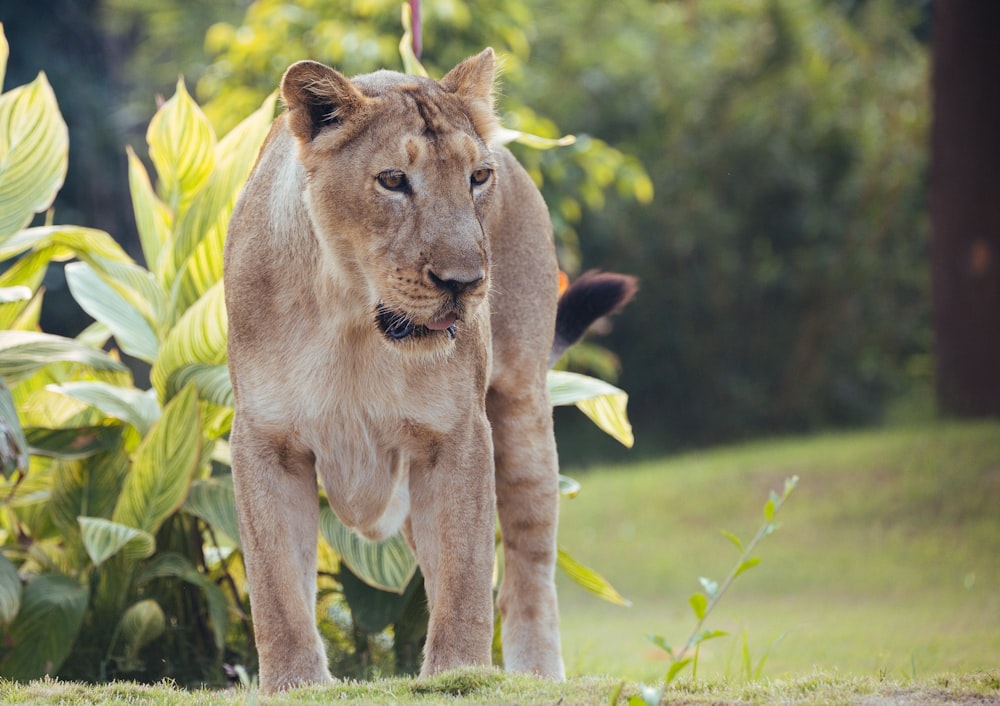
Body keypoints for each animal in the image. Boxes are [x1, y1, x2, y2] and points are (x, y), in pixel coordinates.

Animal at [224, 46, 636, 692]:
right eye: (394, 180)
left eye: (477, 178)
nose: (465, 283)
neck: (351, 322)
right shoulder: (266, 441)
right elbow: (276, 586)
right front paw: (294, 685)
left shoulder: (457, 435)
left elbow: (465, 577)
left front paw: (459, 675)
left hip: (522, 414)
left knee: (528, 567)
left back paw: (537, 675)